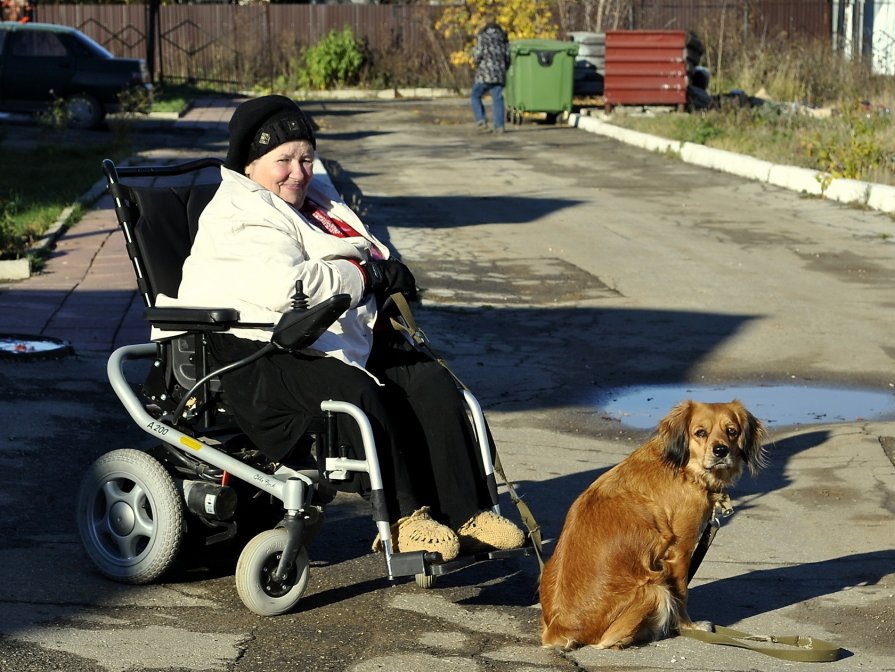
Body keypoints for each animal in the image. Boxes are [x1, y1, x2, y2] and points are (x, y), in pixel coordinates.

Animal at [536, 400, 768, 652]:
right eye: (700, 433)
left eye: (732, 431)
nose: (721, 450)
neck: (684, 468)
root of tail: (559, 630)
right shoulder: (680, 551)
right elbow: (682, 594)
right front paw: (689, 626)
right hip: (655, 588)